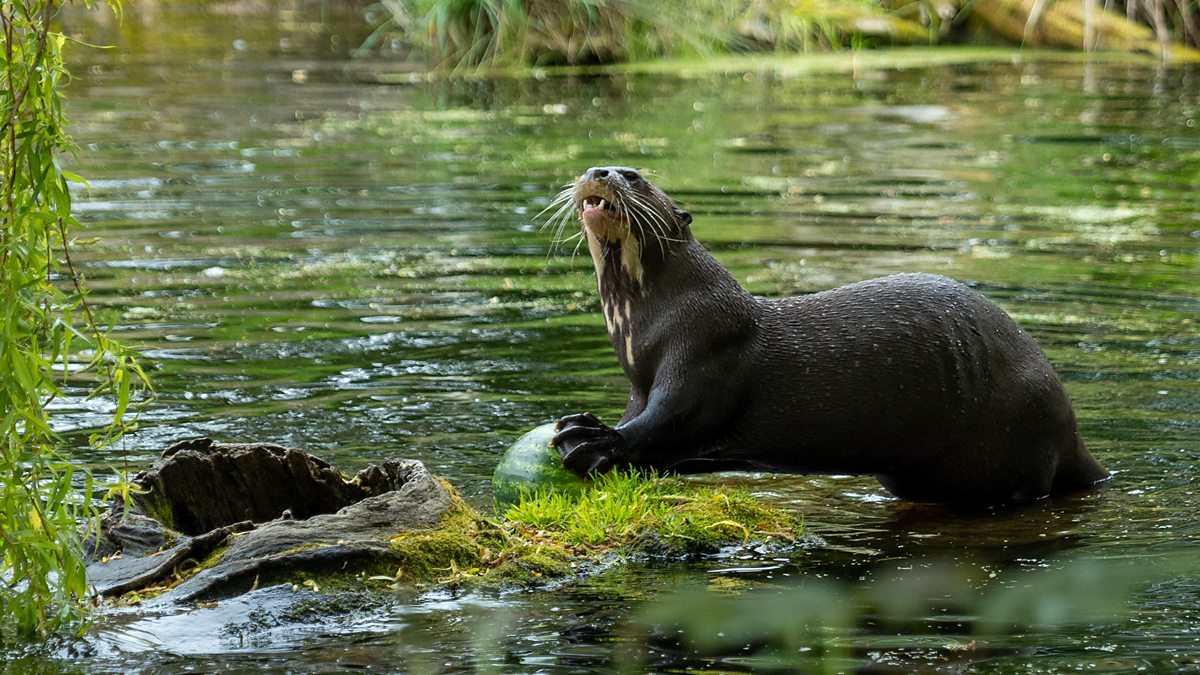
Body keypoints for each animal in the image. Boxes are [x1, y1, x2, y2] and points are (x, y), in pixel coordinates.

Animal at [544, 165, 1104, 502]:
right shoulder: (640, 382)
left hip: (1022, 436)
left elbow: (669, 420)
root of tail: (1071, 430)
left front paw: (592, 440)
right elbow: (646, 422)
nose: (599, 172)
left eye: (635, 178)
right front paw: (584, 424)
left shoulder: (706, 351)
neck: (645, 328)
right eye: (602, 169)